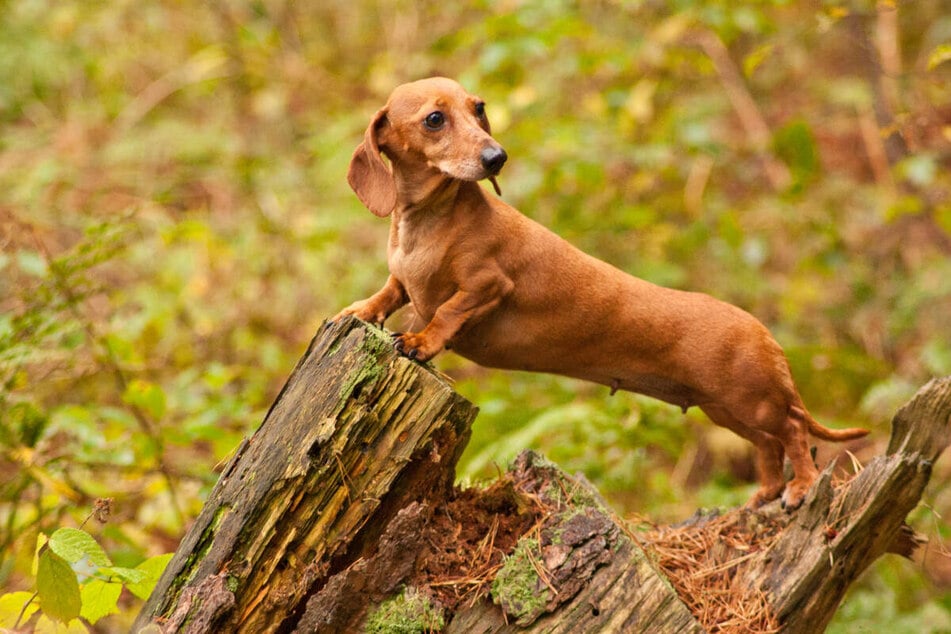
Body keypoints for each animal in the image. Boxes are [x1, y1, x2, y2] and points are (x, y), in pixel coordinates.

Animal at [336, 76, 872, 508]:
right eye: (434, 119)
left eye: (479, 107)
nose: (497, 157)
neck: (429, 222)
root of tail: (765, 334)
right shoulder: (403, 280)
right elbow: (390, 294)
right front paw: (359, 311)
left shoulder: (487, 285)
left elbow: (445, 313)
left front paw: (421, 341)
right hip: (725, 410)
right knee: (769, 444)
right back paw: (766, 491)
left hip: (752, 401)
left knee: (793, 431)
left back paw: (801, 487)